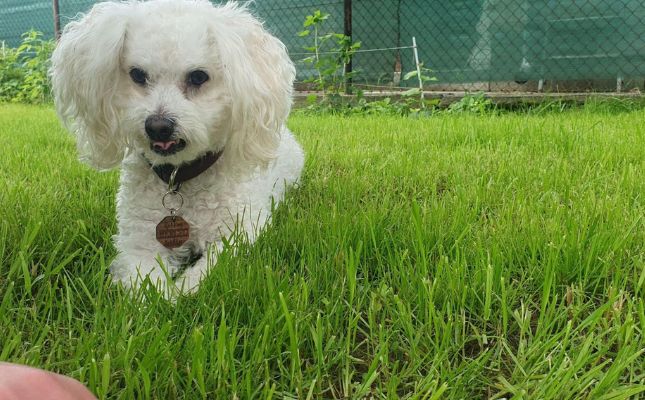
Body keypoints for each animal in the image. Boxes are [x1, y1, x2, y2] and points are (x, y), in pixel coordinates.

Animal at [49, 0, 304, 294]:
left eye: (198, 77)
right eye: (137, 74)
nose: (158, 126)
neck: (178, 177)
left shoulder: (238, 235)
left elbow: (206, 274)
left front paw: (181, 292)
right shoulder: (138, 242)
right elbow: (145, 286)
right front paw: (162, 296)